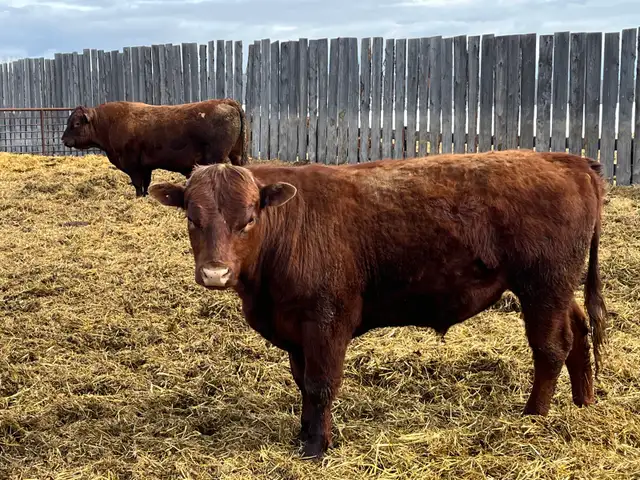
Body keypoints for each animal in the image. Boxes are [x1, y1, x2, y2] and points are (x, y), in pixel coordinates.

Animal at [61, 99, 248, 197]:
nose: (63, 139)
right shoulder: (146, 166)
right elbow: (145, 183)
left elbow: (137, 183)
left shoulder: (132, 164)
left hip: (217, 157)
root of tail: (224, 101)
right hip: (236, 155)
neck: (110, 122)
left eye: (76, 123)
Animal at [148, 150, 608, 460]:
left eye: (248, 219)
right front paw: (304, 434)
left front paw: (317, 446)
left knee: (550, 348)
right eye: (192, 218)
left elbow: (320, 384)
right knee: (578, 330)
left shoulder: (327, 321)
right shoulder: (296, 328)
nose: (215, 274)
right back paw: (583, 400)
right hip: (559, 288)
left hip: (543, 285)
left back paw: (534, 416)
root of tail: (569, 160)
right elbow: (303, 382)